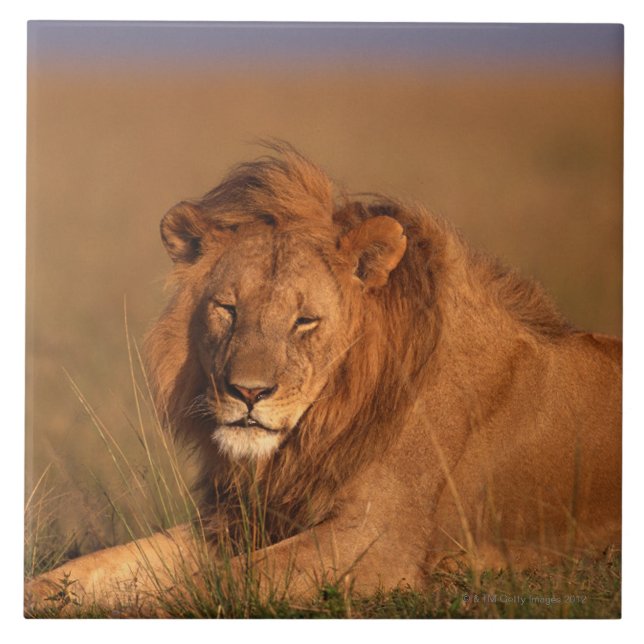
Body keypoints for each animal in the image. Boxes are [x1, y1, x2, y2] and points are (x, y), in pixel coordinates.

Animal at [25, 143, 621, 614]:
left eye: (305, 320)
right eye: (228, 309)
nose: (248, 393)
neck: (320, 427)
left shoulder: (377, 543)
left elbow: (210, 585)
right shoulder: (237, 520)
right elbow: (101, 566)